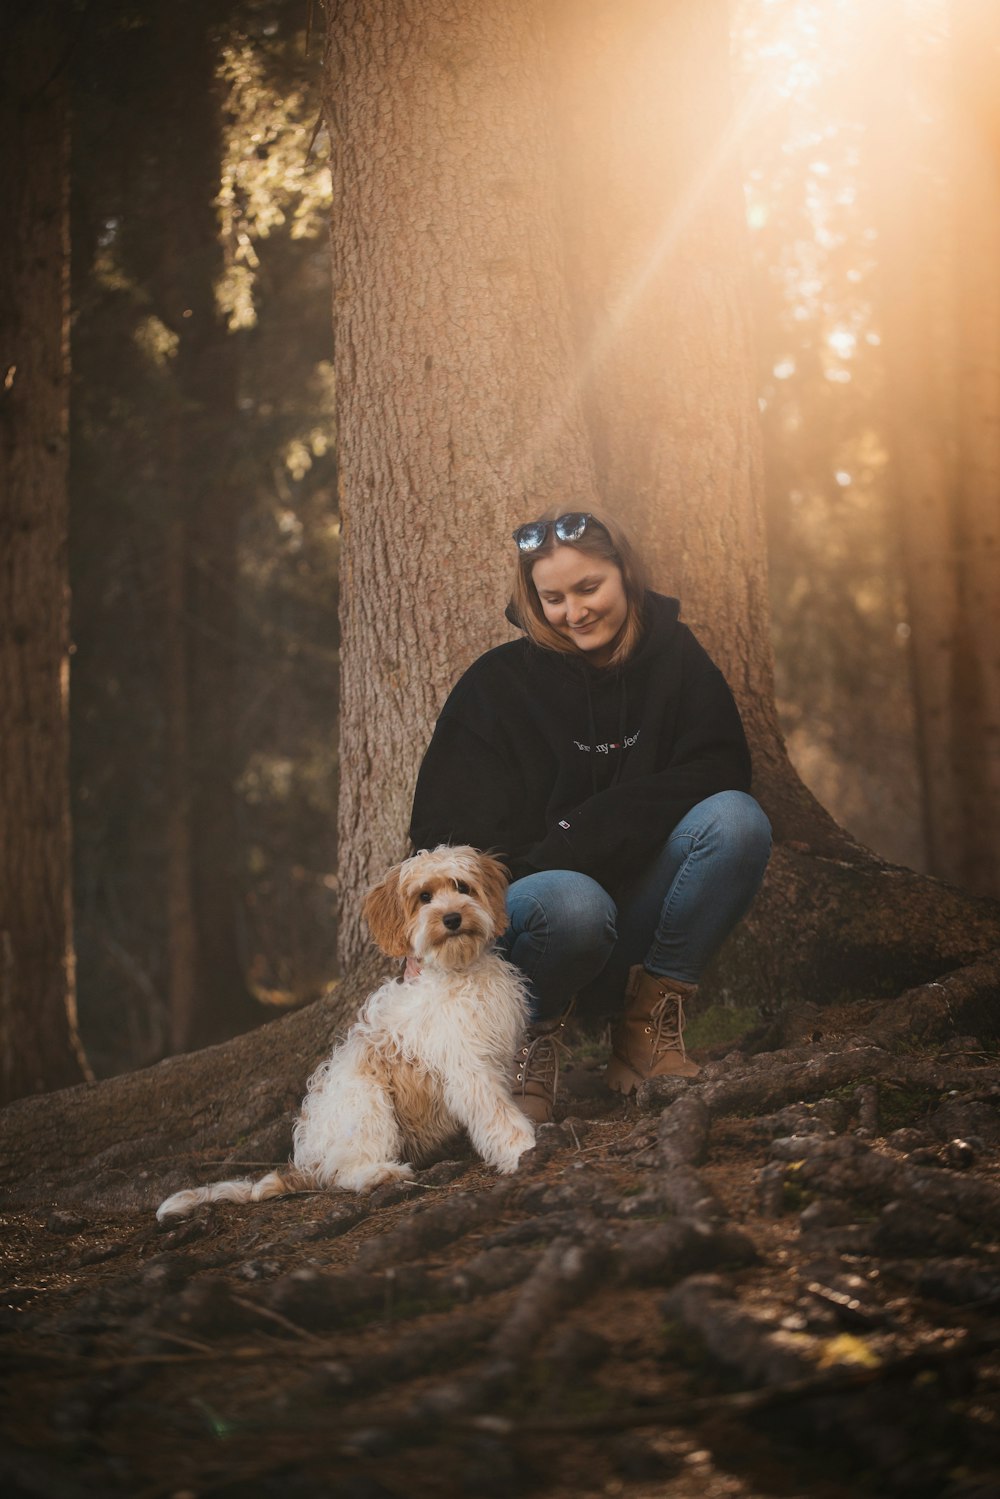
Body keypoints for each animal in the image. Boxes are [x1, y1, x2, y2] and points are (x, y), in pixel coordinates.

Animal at [158, 845, 530, 1217]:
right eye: (424, 897)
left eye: (462, 887)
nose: (452, 918)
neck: (460, 972)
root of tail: (308, 1164)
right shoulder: (468, 1069)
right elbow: (497, 1114)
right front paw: (522, 1149)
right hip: (367, 1099)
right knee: (343, 1174)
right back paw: (380, 1173)